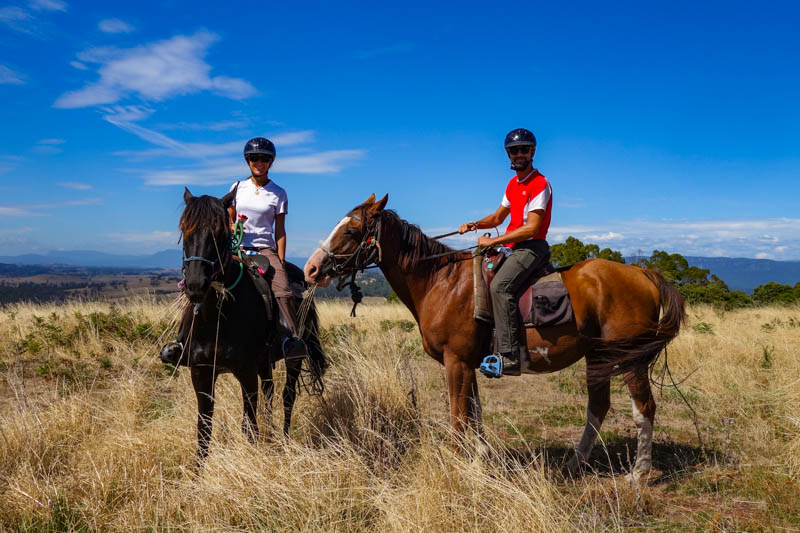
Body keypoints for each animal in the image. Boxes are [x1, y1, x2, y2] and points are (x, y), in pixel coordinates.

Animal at [178, 188, 324, 462]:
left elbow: (249, 427)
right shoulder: (201, 372)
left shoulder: (245, 372)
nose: (195, 285)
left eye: (220, 230)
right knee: (269, 392)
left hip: (294, 358)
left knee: (287, 396)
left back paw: (284, 439)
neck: (217, 318)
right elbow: (203, 431)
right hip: (264, 362)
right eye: (184, 228)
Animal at [304, 193, 684, 480]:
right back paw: (575, 464)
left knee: (644, 408)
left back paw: (640, 472)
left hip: (630, 358)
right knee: (598, 407)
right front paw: (479, 458)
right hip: (598, 356)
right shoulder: (468, 363)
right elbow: (474, 412)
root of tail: (643, 273)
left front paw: (456, 463)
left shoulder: (455, 362)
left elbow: (459, 415)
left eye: (353, 230)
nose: (311, 269)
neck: (440, 281)